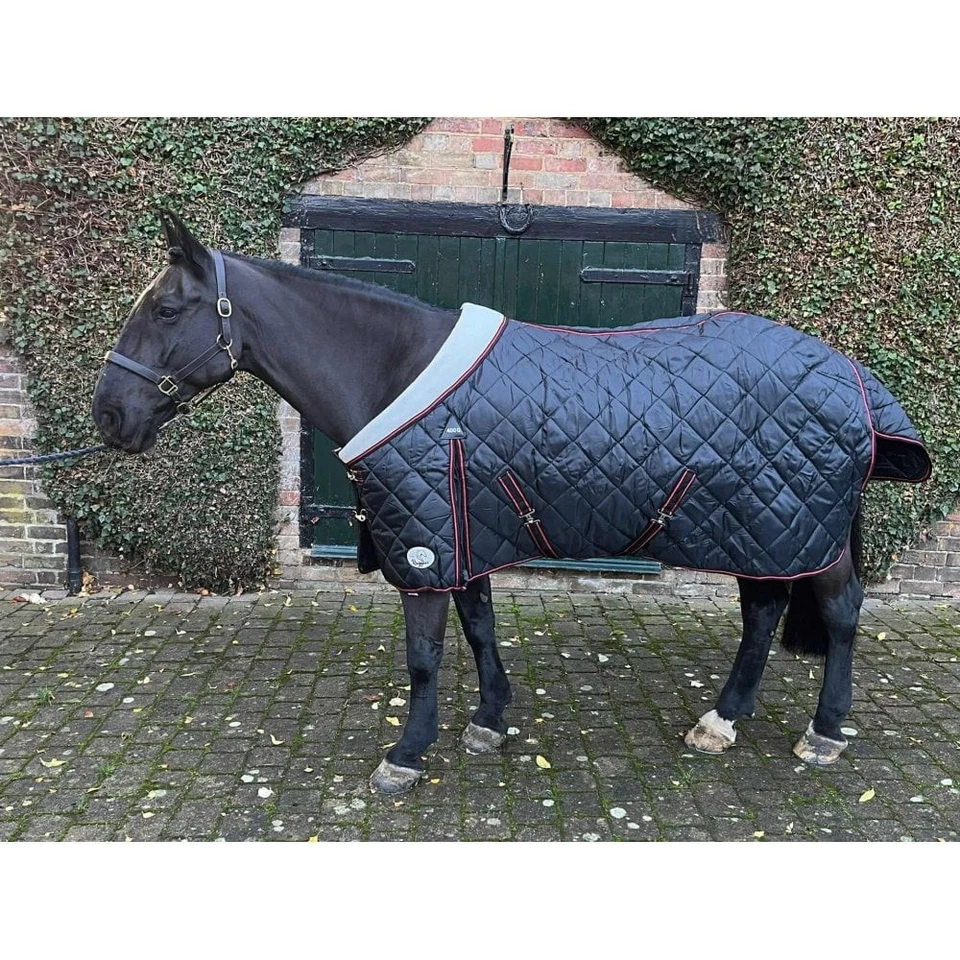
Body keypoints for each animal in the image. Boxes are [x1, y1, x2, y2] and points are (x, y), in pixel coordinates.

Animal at [92, 212, 931, 795]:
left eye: (167, 309)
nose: (108, 416)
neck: (399, 375)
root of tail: (851, 378)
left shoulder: (426, 543)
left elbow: (425, 657)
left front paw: (406, 755)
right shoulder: (461, 533)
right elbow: (481, 630)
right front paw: (489, 723)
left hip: (800, 530)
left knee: (842, 611)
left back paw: (825, 731)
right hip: (763, 529)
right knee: (761, 615)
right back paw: (721, 721)